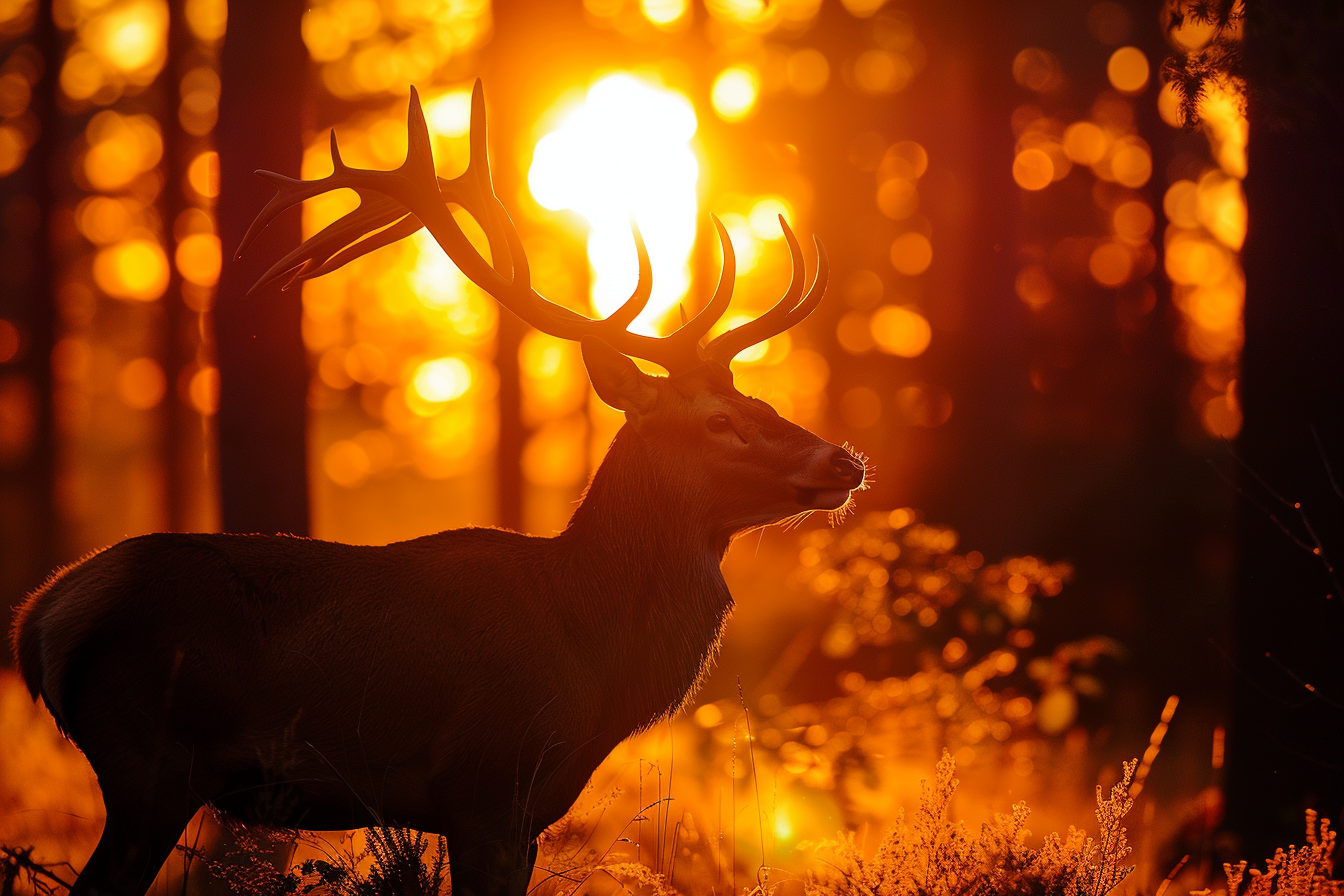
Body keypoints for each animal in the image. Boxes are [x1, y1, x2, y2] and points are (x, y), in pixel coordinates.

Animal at [10, 81, 865, 896]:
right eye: (720, 420)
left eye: (761, 401)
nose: (845, 462)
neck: (591, 657)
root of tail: (39, 618)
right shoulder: (486, 779)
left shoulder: (528, 810)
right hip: (150, 759)